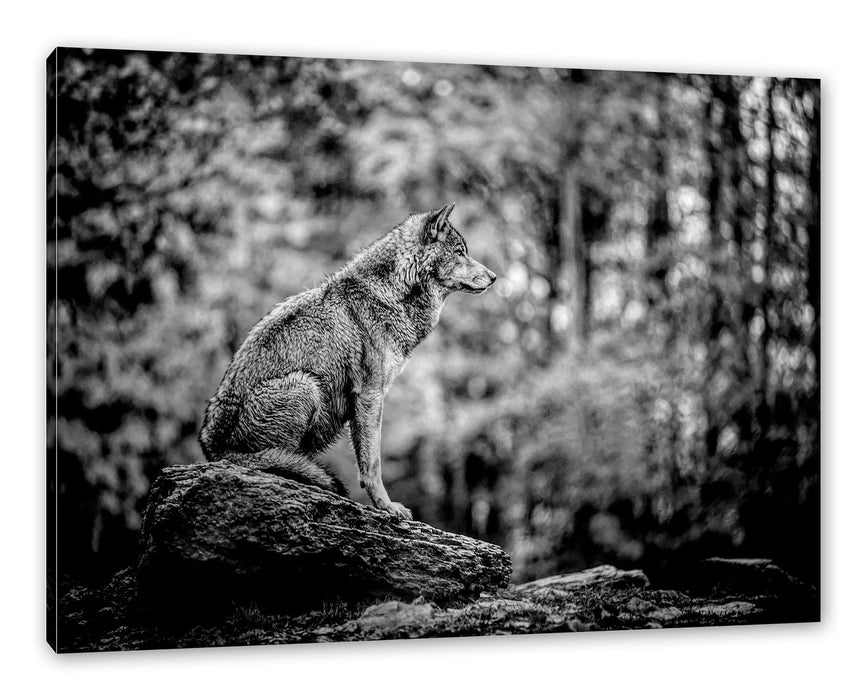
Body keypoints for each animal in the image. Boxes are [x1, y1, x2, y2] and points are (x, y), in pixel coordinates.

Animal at [196, 204, 492, 520]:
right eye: (460, 252)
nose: (495, 277)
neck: (390, 294)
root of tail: (213, 448)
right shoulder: (370, 395)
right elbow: (372, 463)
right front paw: (387, 506)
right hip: (306, 386)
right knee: (276, 460)